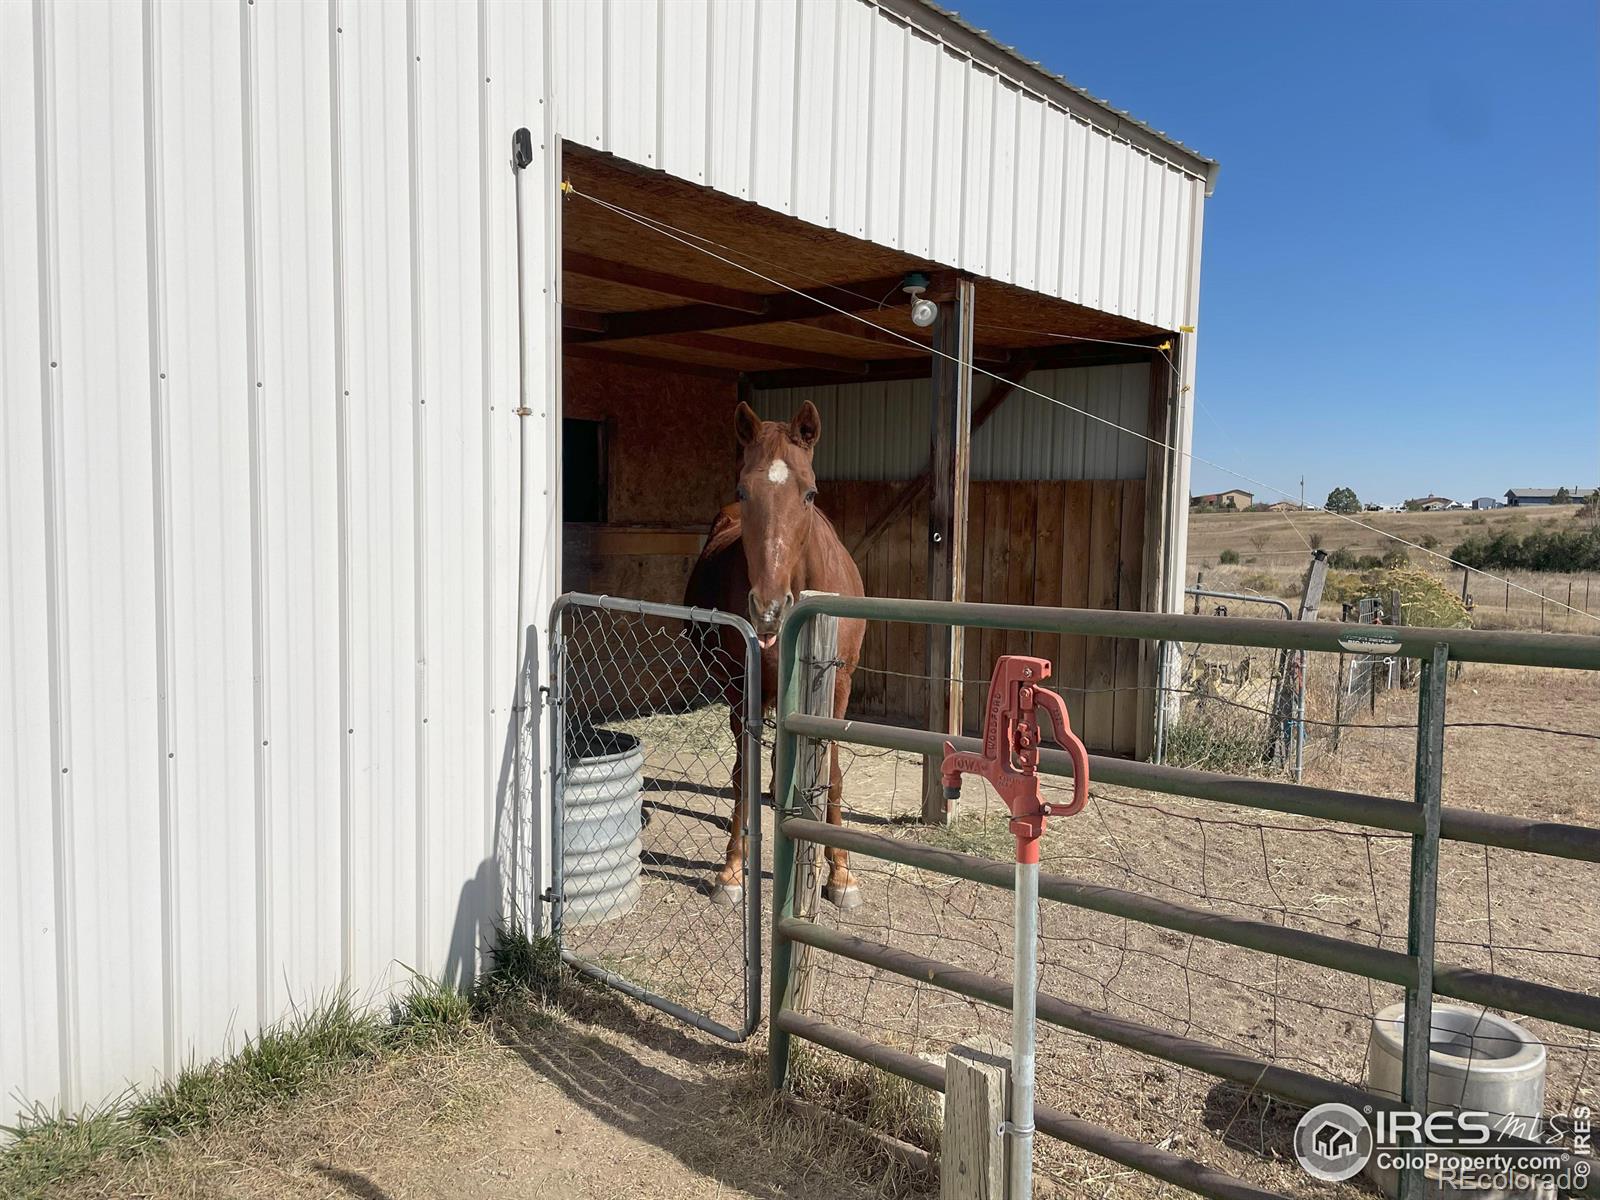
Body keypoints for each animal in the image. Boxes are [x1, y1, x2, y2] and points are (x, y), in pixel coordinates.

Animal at [684, 400, 870, 908]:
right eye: (743, 489)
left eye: (810, 493)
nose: (768, 610)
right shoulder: (740, 685)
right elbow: (742, 773)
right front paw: (731, 869)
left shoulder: (840, 686)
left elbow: (833, 773)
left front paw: (841, 874)